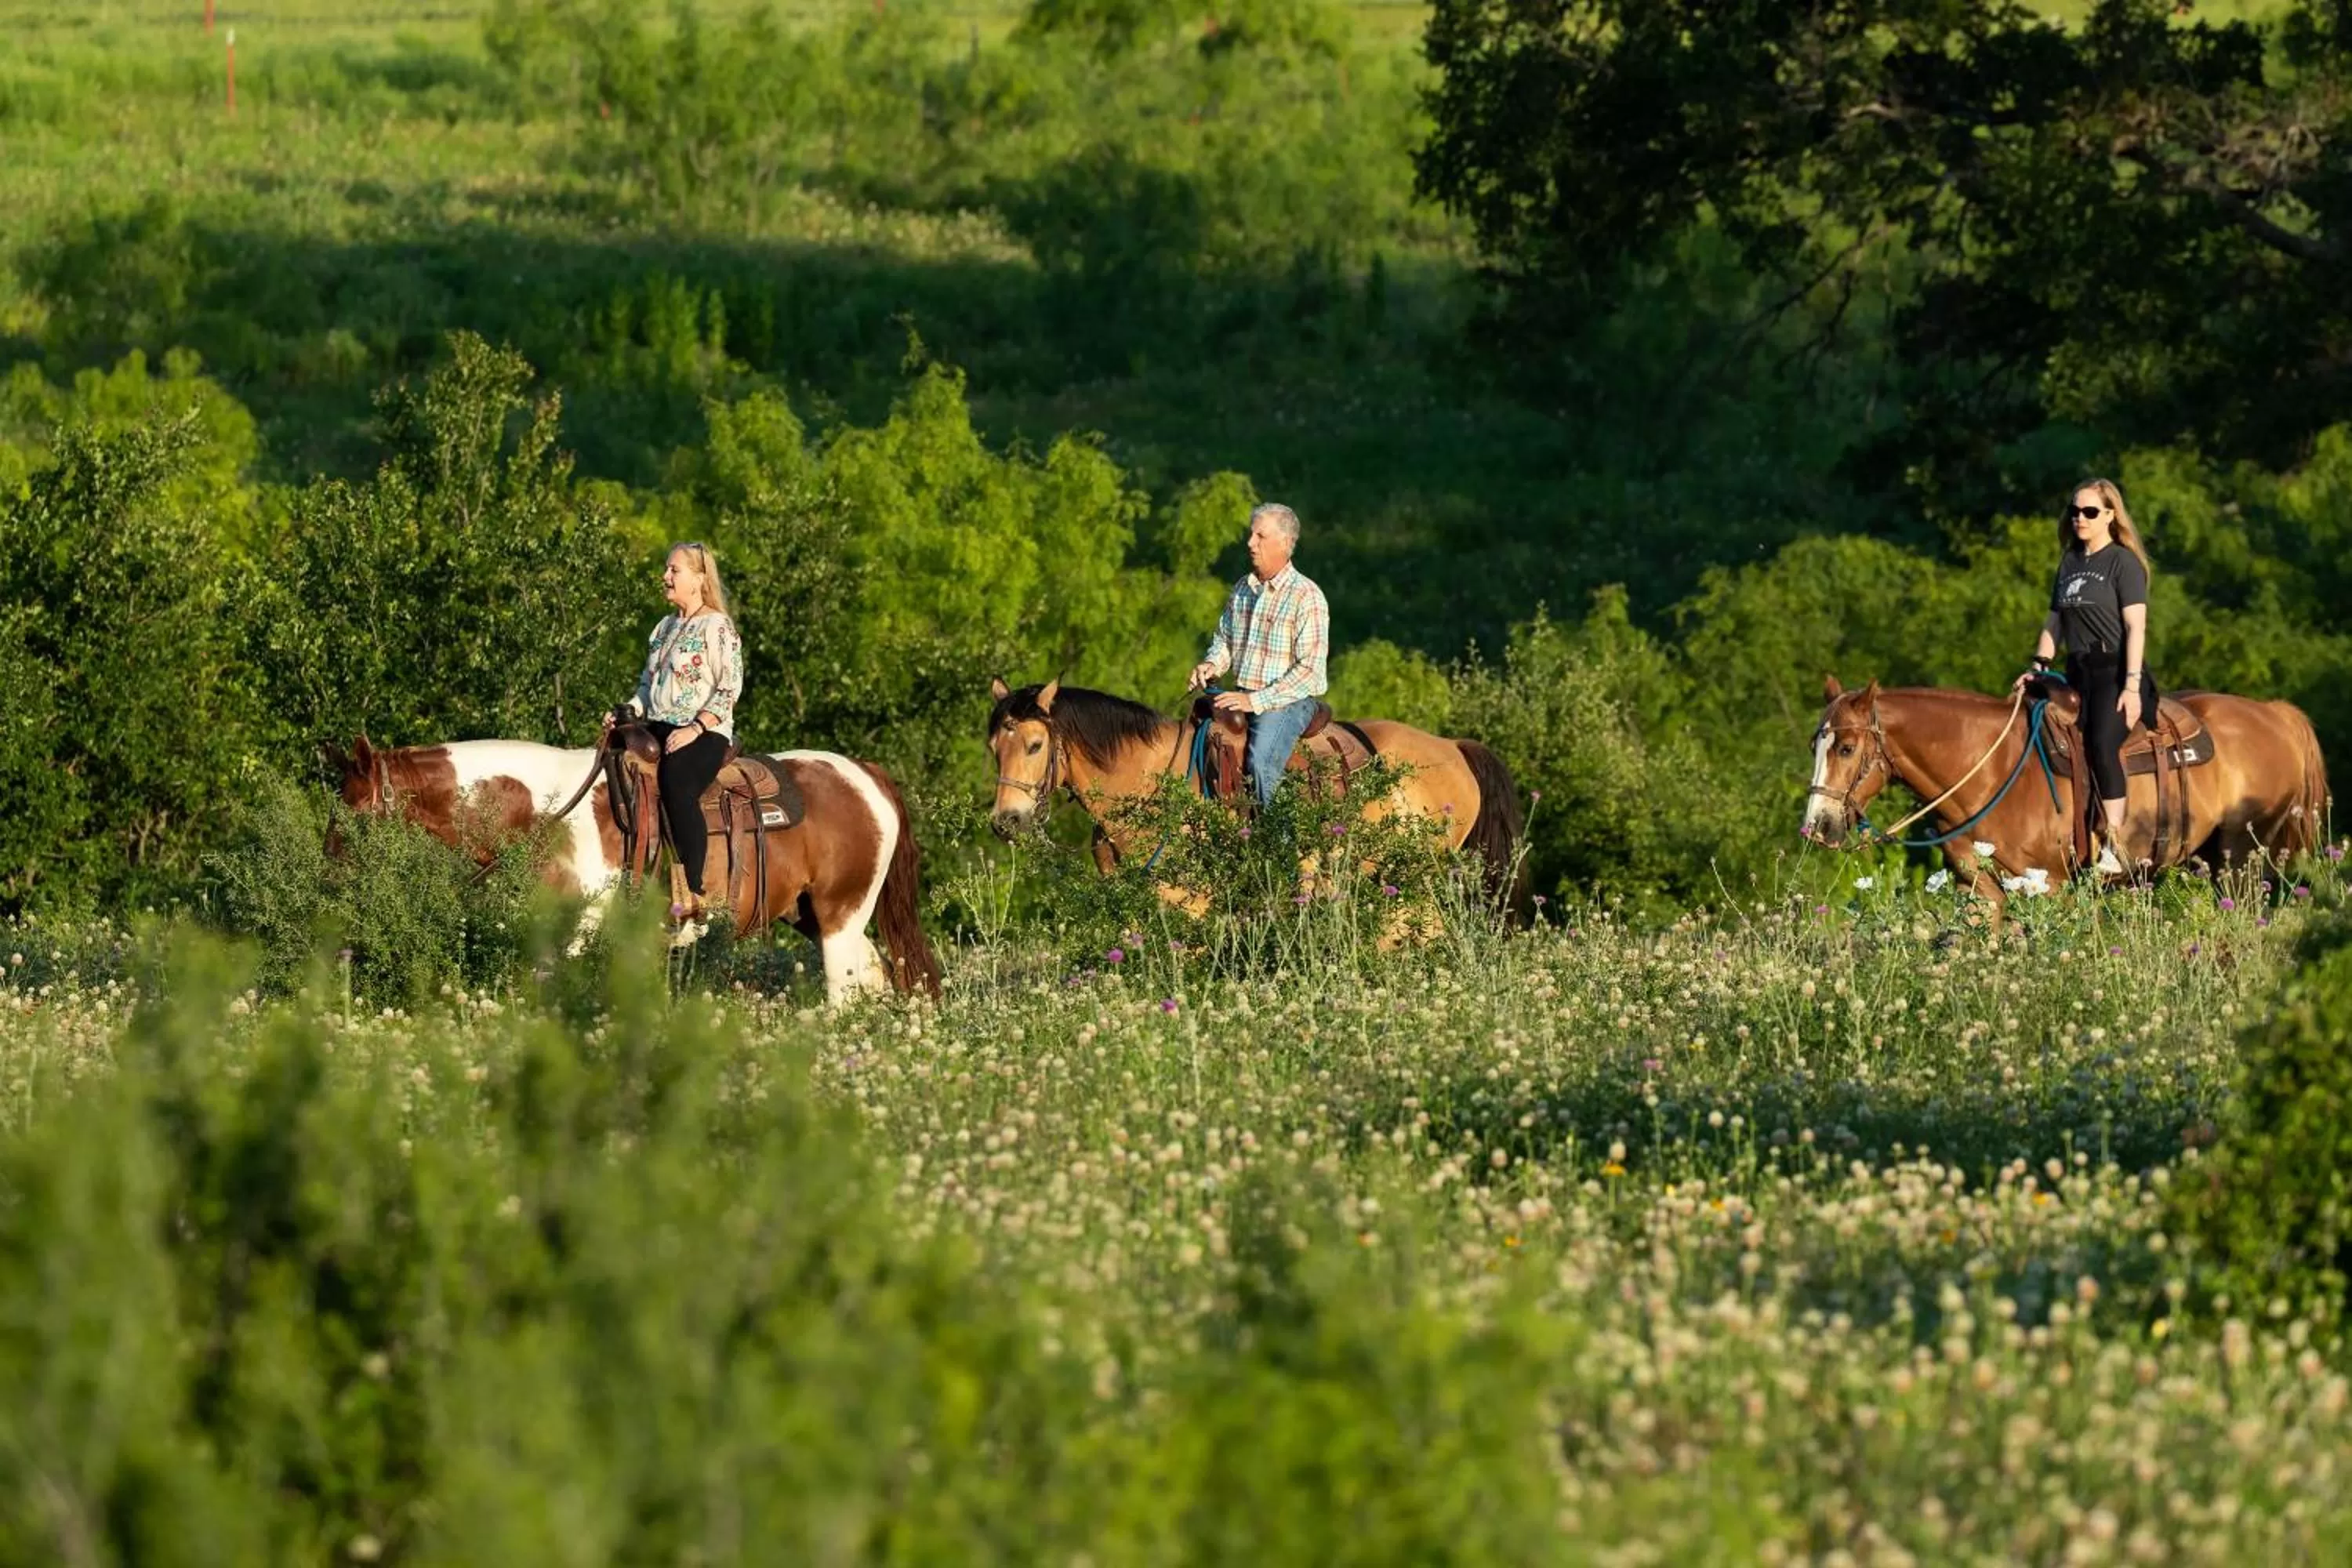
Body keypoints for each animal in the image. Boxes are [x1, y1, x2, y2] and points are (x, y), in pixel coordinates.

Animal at [326, 734, 941, 1003]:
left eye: (355, 813)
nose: (328, 878)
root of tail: (865, 773)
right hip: (815, 916)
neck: (543, 814)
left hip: (841, 916)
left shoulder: (579, 930)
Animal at [1798, 677, 2329, 915]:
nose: (1817, 826)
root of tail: (2275, 714)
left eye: (1846, 747)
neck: (1990, 770)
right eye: (1815, 745)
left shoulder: (2048, 887)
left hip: (2240, 857)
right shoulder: (1980, 890)